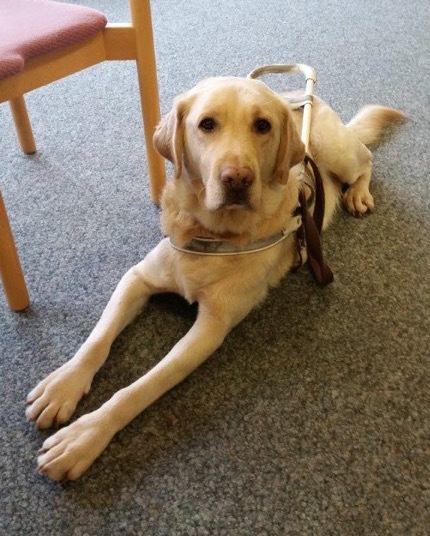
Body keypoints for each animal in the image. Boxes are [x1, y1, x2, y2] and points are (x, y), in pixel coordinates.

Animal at [26, 76, 404, 480]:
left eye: (262, 125)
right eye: (207, 124)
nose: (237, 179)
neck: (213, 233)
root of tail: (300, 96)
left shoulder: (211, 328)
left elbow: (140, 388)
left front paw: (84, 436)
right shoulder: (137, 278)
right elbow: (97, 340)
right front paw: (63, 385)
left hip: (336, 151)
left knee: (366, 160)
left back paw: (360, 194)